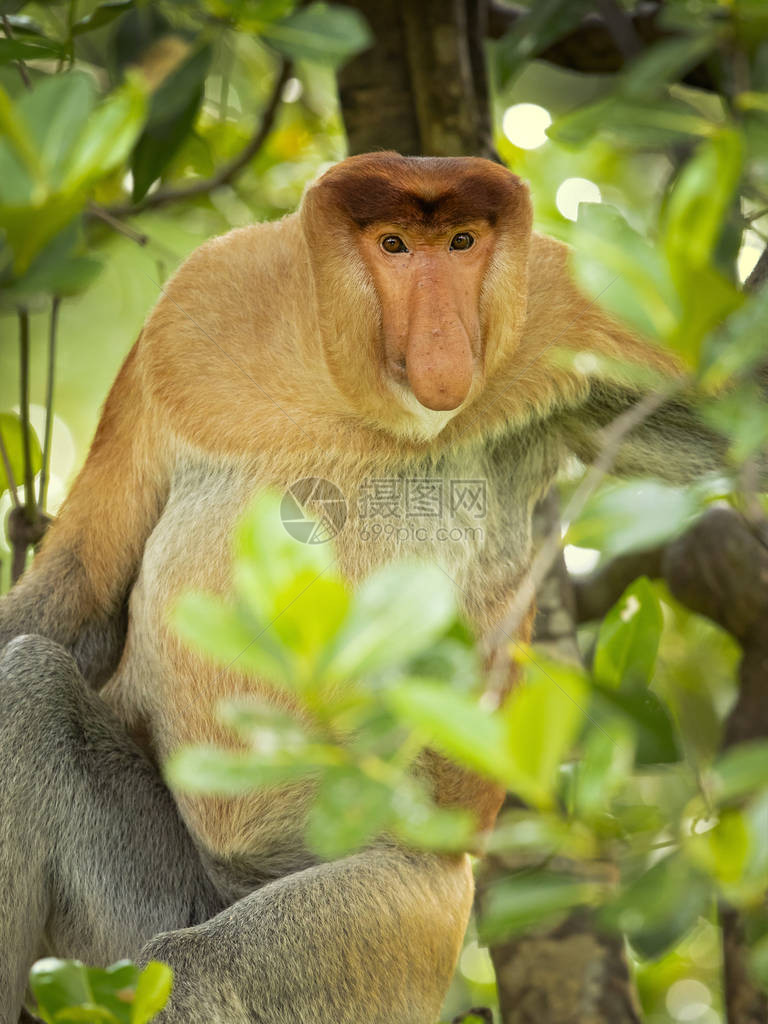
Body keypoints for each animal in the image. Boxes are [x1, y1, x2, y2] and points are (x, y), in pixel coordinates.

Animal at [0, 153, 724, 1024]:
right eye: (394, 245)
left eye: (462, 242)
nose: (444, 346)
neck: (344, 392)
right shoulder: (188, 312)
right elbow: (82, 582)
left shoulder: (568, 315)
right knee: (30, 686)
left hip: (398, 930)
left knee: (198, 972)